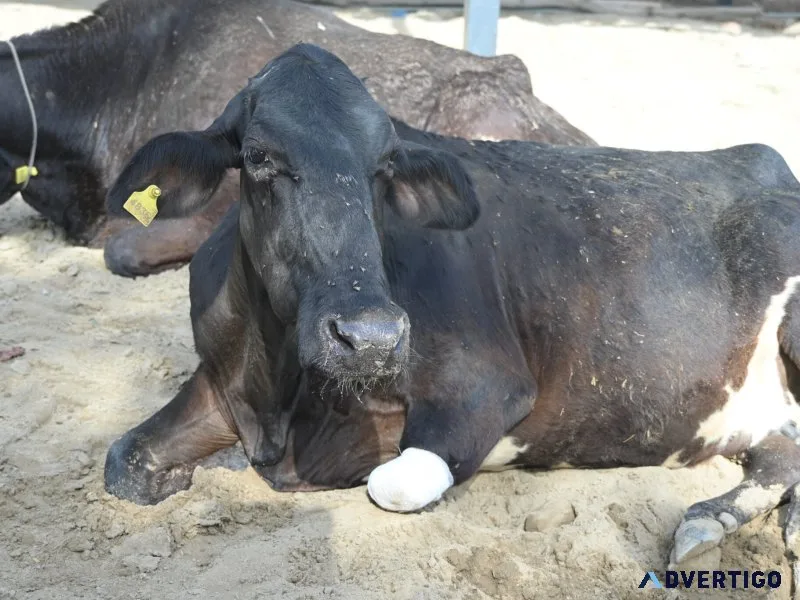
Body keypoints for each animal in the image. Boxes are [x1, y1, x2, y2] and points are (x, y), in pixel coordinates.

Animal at [102, 43, 800, 579]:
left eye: (384, 165)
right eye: (258, 157)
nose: (371, 337)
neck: (282, 399)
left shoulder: (485, 385)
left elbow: (394, 482)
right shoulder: (222, 380)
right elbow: (123, 463)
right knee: (781, 452)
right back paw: (714, 521)